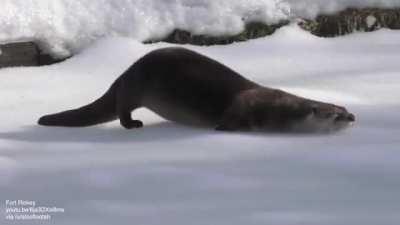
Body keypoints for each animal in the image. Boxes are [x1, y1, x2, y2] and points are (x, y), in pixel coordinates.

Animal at [38, 47, 356, 132]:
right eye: (335, 114)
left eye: (344, 108)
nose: (352, 117)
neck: (277, 110)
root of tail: (124, 74)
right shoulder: (242, 108)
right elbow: (229, 121)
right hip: (135, 87)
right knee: (122, 109)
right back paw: (134, 124)